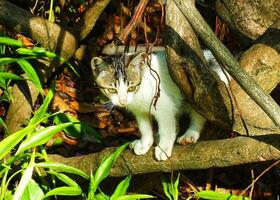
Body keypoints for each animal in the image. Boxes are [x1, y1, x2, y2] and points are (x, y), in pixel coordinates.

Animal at [90, 50, 219, 161]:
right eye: (112, 90)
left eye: (131, 88)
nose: (123, 101)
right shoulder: (139, 111)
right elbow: (144, 127)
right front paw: (144, 144)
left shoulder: (164, 106)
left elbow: (167, 128)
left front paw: (164, 149)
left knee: (199, 114)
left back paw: (190, 134)